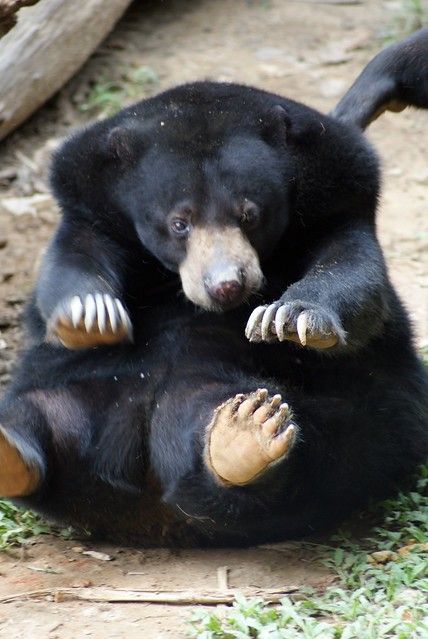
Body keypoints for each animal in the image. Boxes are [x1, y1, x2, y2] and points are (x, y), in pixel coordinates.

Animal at [0, 30, 426, 548]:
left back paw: (247, 432)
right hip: (75, 396)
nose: (226, 285)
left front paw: (286, 319)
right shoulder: (91, 202)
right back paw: (10, 452)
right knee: (35, 420)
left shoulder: (340, 197)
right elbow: (72, 259)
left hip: (337, 427)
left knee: (302, 449)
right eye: (178, 223)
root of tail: (153, 507)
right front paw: (92, 316)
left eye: (250, 214)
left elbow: (353, 271)